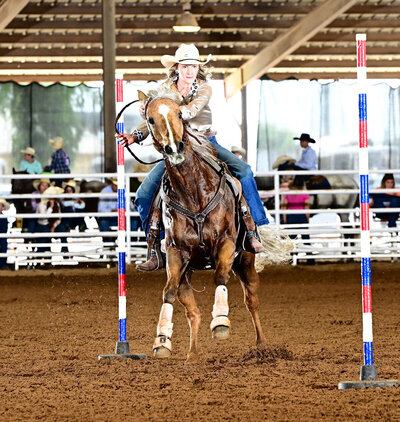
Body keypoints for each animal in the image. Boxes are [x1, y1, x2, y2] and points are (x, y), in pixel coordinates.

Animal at [141, 90, 266, 362]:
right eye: (151, 120)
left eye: (180, 114)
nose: (174, 148)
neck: (194, 192)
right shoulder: (176, 253)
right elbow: (168, 292)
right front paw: (162, 340)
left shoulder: (225, 243)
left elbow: (220, 276)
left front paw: (220, 321)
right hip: (186, 276)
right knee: (192, 312)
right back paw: (193, 354)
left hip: (246, 262)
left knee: (251, 300)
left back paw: (262, 345)